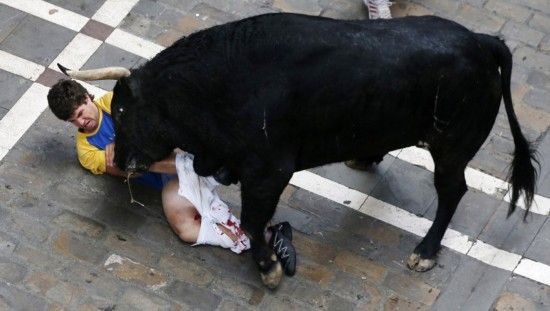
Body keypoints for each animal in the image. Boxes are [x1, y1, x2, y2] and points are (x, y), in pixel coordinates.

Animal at [61, 13, 540, 288]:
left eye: (124, 110)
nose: (120, 160)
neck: (215, 85)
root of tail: (481, 41)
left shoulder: (268, 171)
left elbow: (253, 221)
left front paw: (269, 267)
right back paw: (365, 158)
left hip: (452, 148)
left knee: (452, 191)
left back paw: (424, 252)